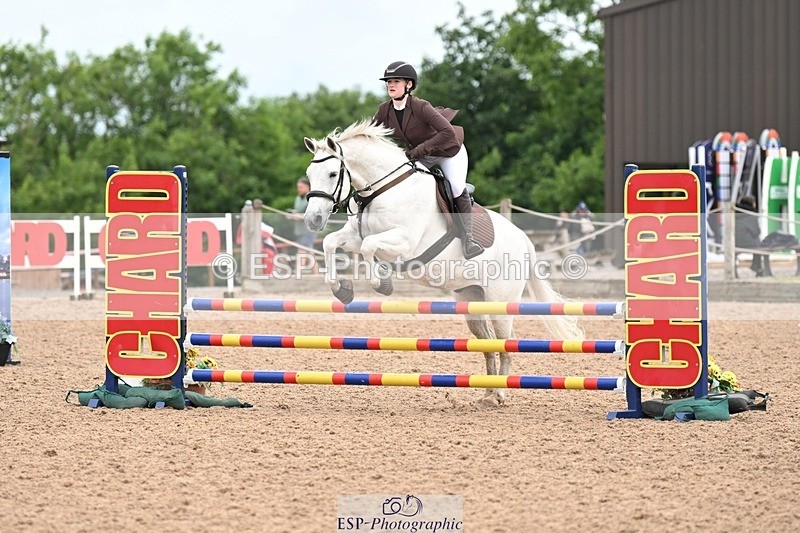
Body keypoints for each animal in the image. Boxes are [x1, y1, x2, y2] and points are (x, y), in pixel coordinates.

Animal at [303, 119, 583, 404]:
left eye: (332, 174)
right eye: (309, 174)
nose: (313, 220)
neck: (384, 189)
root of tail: (524, 239)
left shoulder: (404, 242)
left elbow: (370, 247)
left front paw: (382, 285)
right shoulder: (355, 236)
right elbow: (331, 243)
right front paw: (342, 290)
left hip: (499, 302)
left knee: (506, 343)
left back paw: (499, 394)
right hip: (471, 299)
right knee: (488, 343)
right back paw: (487, 393)